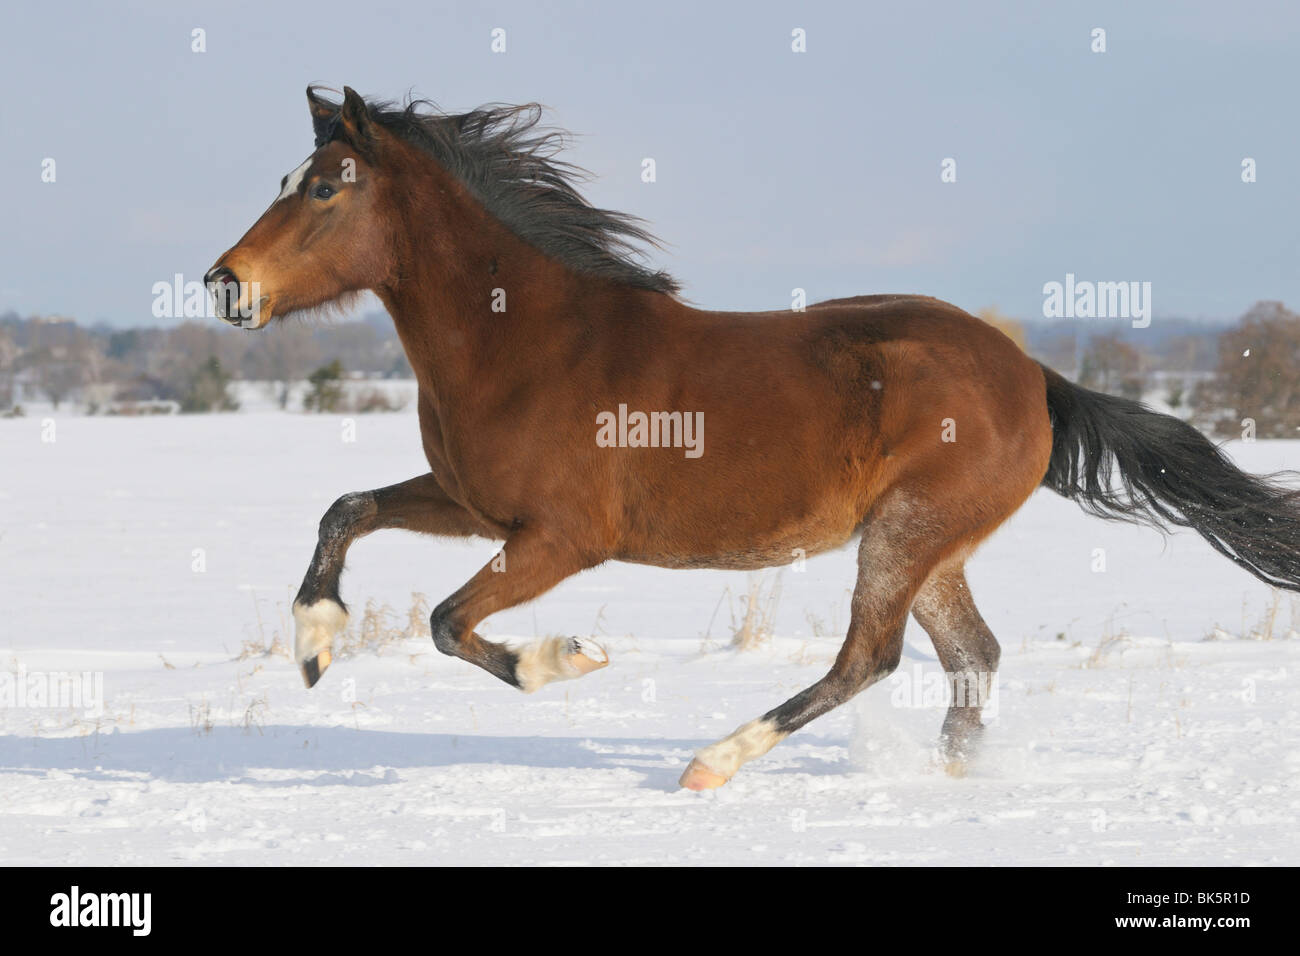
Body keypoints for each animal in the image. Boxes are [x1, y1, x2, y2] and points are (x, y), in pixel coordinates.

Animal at [205, 86, 1300, 790]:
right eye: (289, 175)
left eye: (326, 187)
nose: (224, 284)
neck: (526, 339)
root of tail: (1033, 377)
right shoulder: (472, 505)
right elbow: (346, 508)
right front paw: (314, 644)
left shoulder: (560, 538)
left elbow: (446, 621)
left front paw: (569, 659)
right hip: (932, 546)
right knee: (970, 655)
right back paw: (951, 781)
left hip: (903, 533)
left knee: (870, 658)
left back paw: (711, 762)